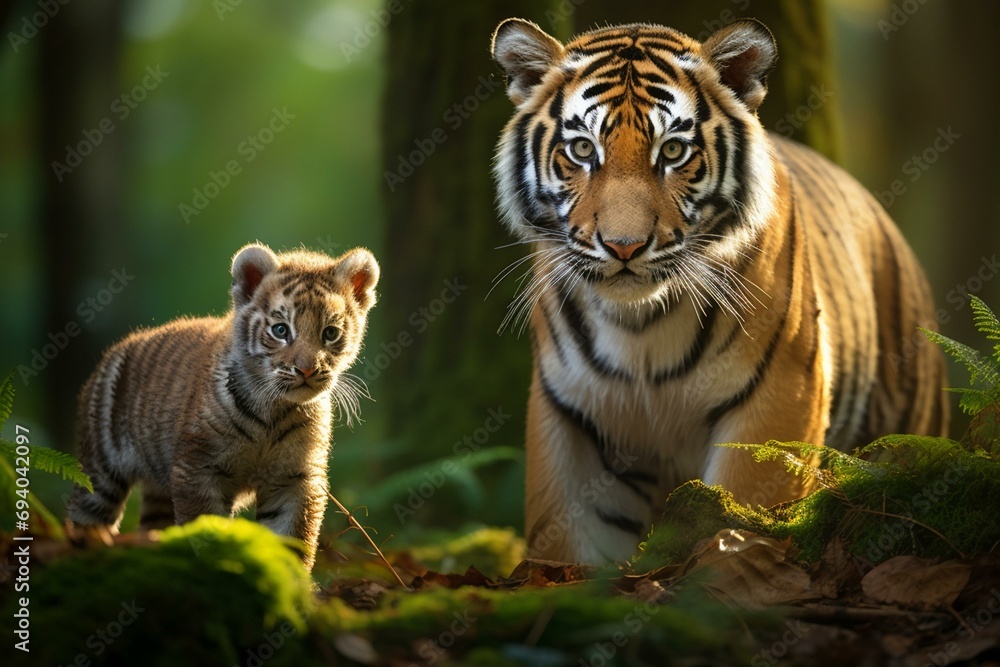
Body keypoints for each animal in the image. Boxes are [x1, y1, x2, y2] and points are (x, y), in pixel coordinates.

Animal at [67, 242, 378, 570]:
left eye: (330, 333)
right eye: (281, 330)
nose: (307, 370)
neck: (275, 411)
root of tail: (113, 351)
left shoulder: (295, 479)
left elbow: (292, 541)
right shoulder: (198, 469)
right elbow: (205, 531)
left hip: (158, 492)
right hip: (100, 473)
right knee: (84, 518)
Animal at [490, 18, 949, 564]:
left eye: (672, 151)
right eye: (582, 150)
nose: (624, 247)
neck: (638, 327)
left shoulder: (780, 396)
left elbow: (742, 514)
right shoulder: (569, 414)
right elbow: (566, 549)